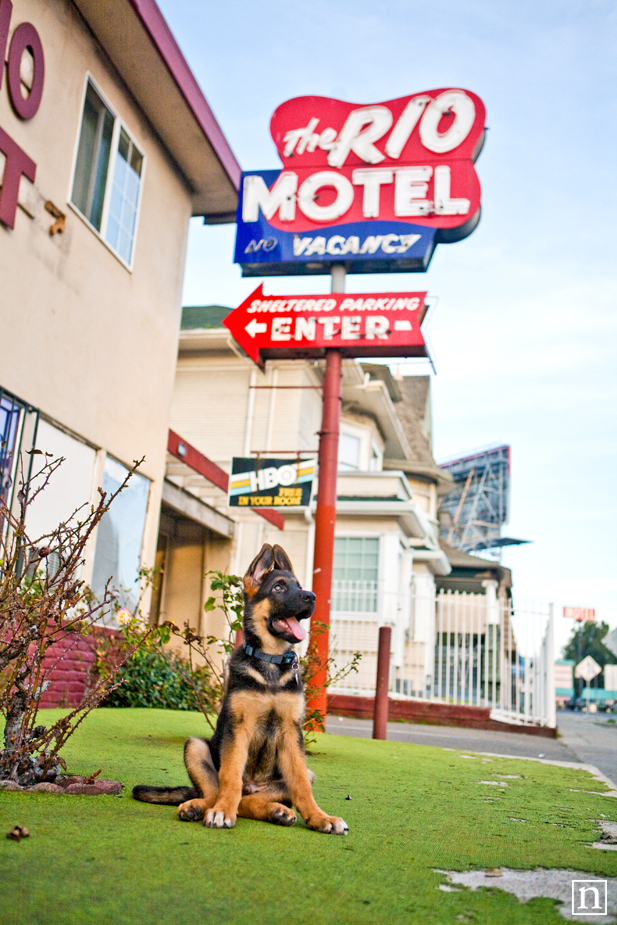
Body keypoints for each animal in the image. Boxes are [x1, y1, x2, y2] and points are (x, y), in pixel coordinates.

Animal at [132, 544, 346, 832]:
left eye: (299, 586)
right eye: (279, 587)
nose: (311, 597)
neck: (270, 662)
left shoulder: (292, 731)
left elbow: (301, 784)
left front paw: (320, 817)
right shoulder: (239, 727)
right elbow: (230, 775)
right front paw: (223, 811)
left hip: (292, 776)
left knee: (251, 800)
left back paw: (277, 810)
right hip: (196, 746)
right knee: (217, 793)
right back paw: (200, 806)